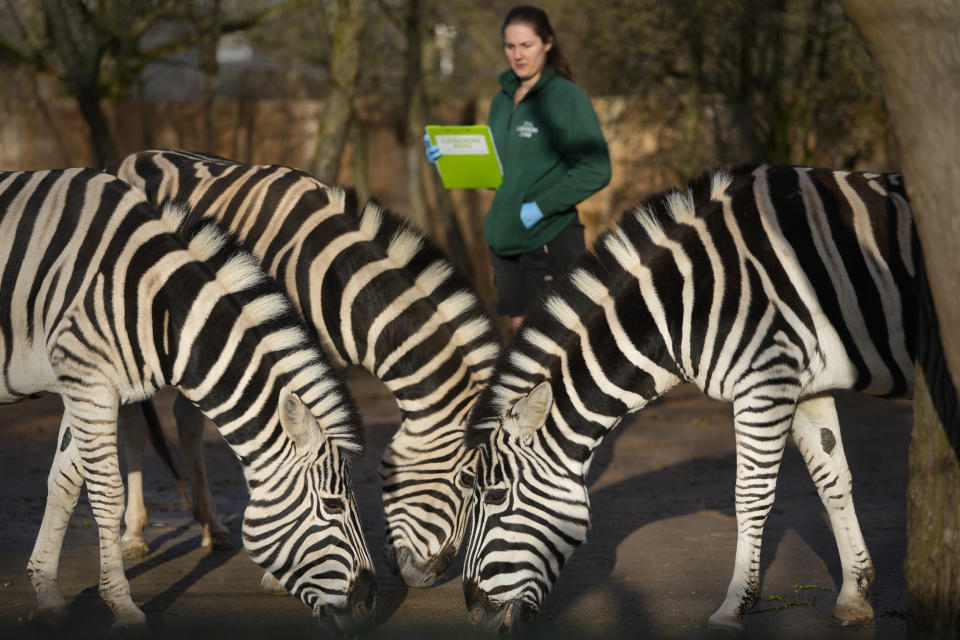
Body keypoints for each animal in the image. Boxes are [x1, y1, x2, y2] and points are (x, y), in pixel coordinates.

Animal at [0, 169, 376, 636]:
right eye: (333, 505)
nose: (368, 603)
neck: (153, 303)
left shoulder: (82, 384)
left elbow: (64, 485)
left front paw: (48, 596)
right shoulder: (88, 379)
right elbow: (106, 494)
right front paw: (123, 607)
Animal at [103, 149, 502, 584]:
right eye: (467, 479)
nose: (427, 576)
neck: (332, 280)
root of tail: (132, 156)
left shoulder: (322, 366)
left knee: (187, 420)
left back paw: (213, 527)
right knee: (134, 425)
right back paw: (135, 534)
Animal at [462, 164, 920, 632]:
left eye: (494, 496)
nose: (474, 611)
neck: (686, 301)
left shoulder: (766, 378)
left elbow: (751, 494)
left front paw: (733, 607)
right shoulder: (806, 383)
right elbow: (833, 481)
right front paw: (853, 595)